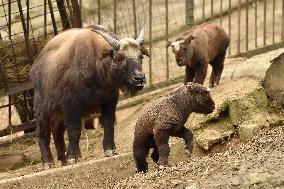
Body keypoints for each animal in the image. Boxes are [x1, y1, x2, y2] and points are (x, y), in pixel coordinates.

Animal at [30, 25, 151, 165]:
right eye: (120, 58)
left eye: (140, 57)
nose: (139, 79)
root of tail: (36, 65)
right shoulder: (71, 106)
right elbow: (74, 130)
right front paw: (74, 156)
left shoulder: (110, 101)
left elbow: (109, 124)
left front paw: (110, 149)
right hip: (42, 109)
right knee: (42, 131)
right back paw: (48, 161)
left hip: (57, 114)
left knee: (57, 132)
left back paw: (63, 159)